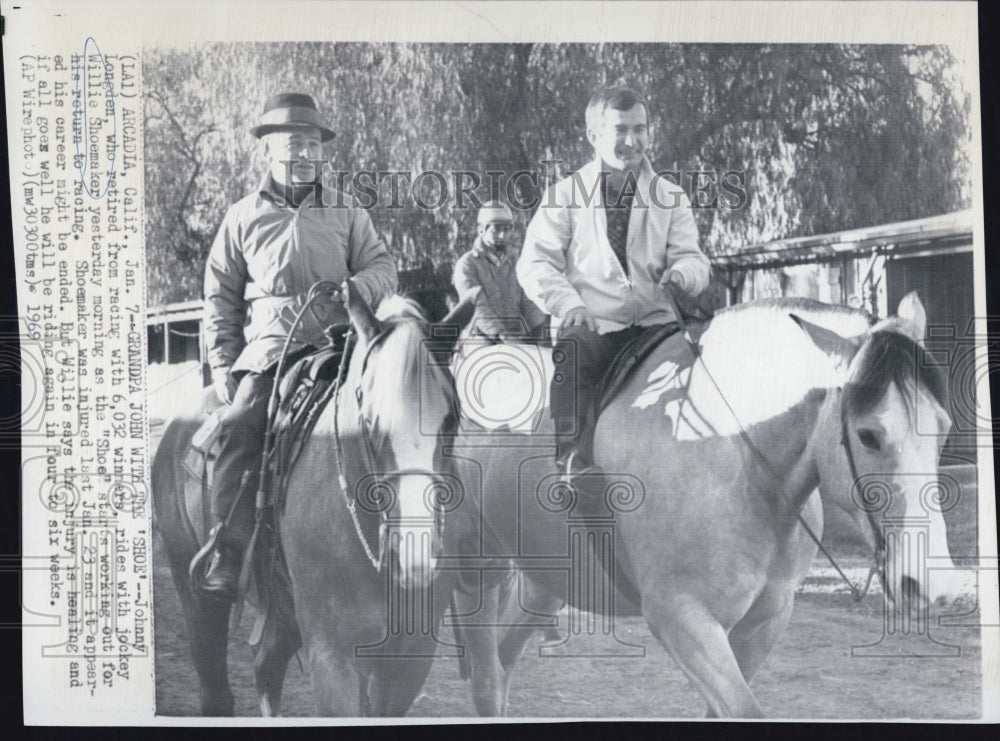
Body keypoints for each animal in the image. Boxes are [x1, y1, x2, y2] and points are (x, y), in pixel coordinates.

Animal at [153, 284, 472, 712]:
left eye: (451, 418)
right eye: (369, 419)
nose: (414, 552)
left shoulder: (410, 659)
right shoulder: (331, 657)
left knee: (266, 666)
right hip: (198, 599)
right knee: (216, 689)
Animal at [452, 292, 960, 712]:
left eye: (943, 427)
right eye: (868, 434)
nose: (930, 584)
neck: (739, 458)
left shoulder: (764, 622)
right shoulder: (681, 618)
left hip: (546, 580)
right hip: (476, 565)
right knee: (487, 682)